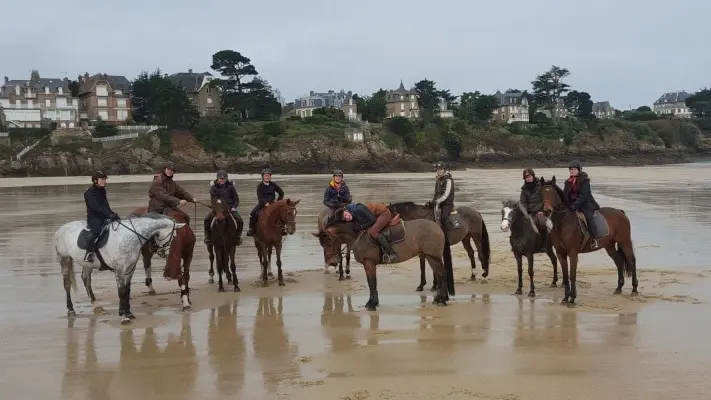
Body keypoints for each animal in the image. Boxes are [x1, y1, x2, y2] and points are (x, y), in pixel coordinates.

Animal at [54, 214, 185, 324]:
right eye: (174, 236)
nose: (165, 254)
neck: (131, 236)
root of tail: (61, 229)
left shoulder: (130, 269)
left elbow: (127, 290)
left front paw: (128, 313)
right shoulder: (119, 270)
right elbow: (121, 291)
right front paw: (124, 317)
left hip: (87, 264)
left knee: (86, 280)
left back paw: (97, 306)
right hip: (65, 259)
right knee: (67, 284)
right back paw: (71, 310)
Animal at [312, 217, 456, 310]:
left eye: (329, 242)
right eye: (322, 244)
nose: (331, 262)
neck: (359, 235)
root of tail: (437, 226)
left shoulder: (369, 263)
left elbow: (372, 283)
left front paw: (372, 304)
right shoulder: (368, 265)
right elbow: (371, 283)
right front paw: (372, 302)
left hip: (433, 256)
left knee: (442, 274)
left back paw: (443, 299)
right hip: (430, 257)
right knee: (439, 274)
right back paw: (439, 298)